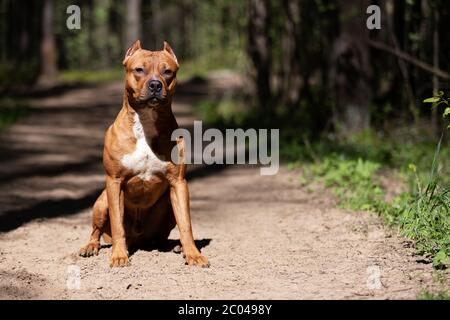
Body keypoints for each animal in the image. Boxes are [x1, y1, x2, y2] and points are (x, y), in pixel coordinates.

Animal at [78, 40, 209, 268]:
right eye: (139, 70)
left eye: (167, 72)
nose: (155, 84)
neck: (146, 123)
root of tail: (139, 240)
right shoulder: (114, 181)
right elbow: (118, 224)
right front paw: (119, 256)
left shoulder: (179, 183)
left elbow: (186, 223)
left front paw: (193, 253)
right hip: (102, 201)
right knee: (97, 230)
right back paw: (91, 247)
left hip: (167, 205)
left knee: (162, 236)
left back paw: (177, 247)